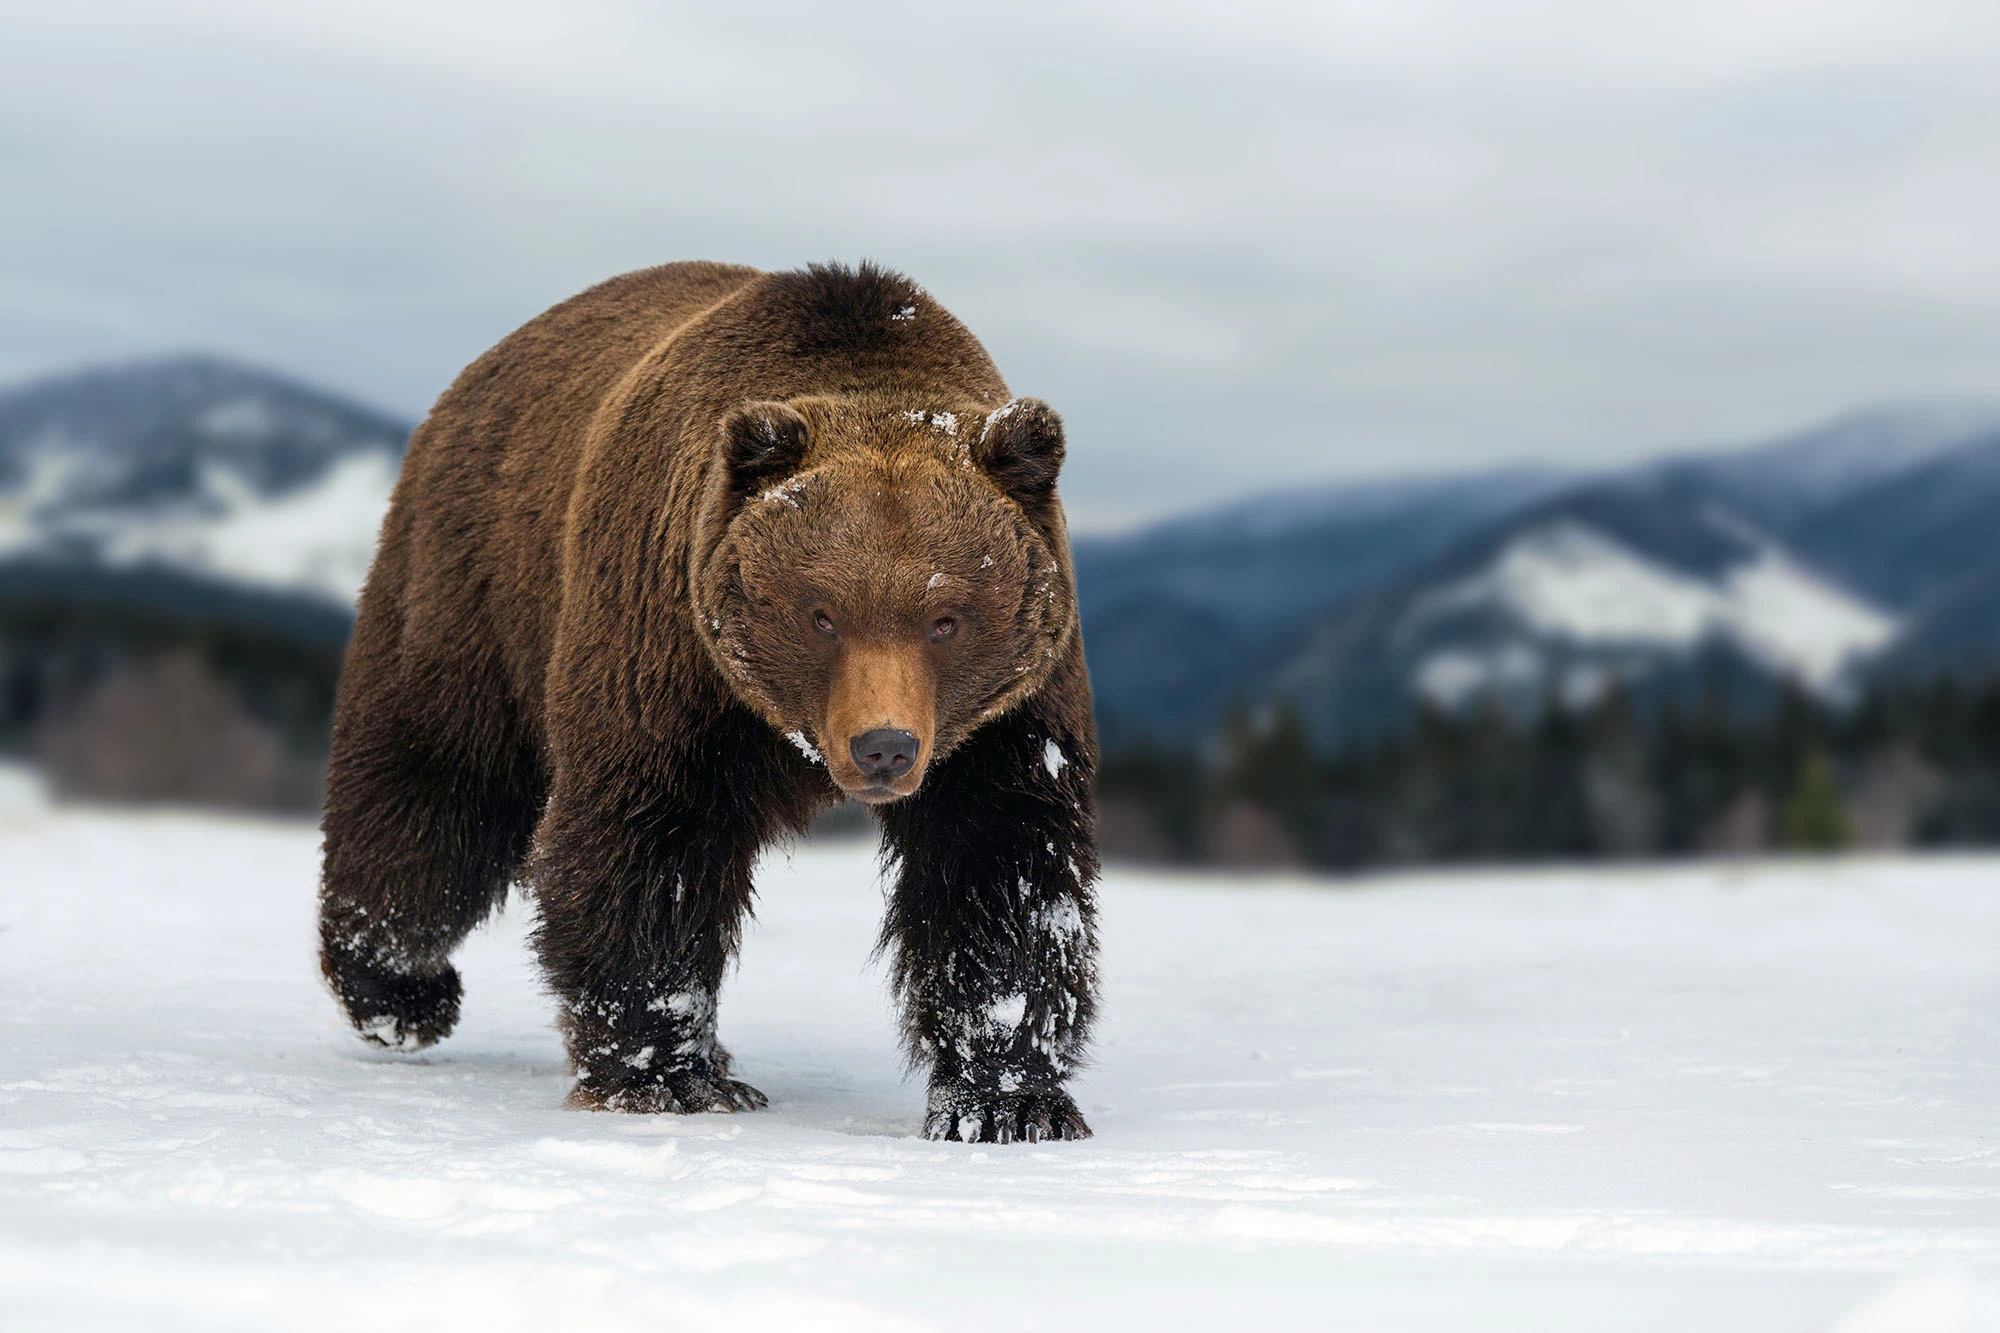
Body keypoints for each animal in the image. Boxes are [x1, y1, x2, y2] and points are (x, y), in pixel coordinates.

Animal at [316, 261, 1099, 1143]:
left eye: (947, 618)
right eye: (821, 612)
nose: (884, 745)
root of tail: (476, 373)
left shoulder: (1005, 715)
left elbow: (1004, 868)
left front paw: (1008, 1100)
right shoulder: (672, 653)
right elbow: (650, 843)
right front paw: (666, 1075)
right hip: (478, 588)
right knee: (433, 794)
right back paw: (401, 990)